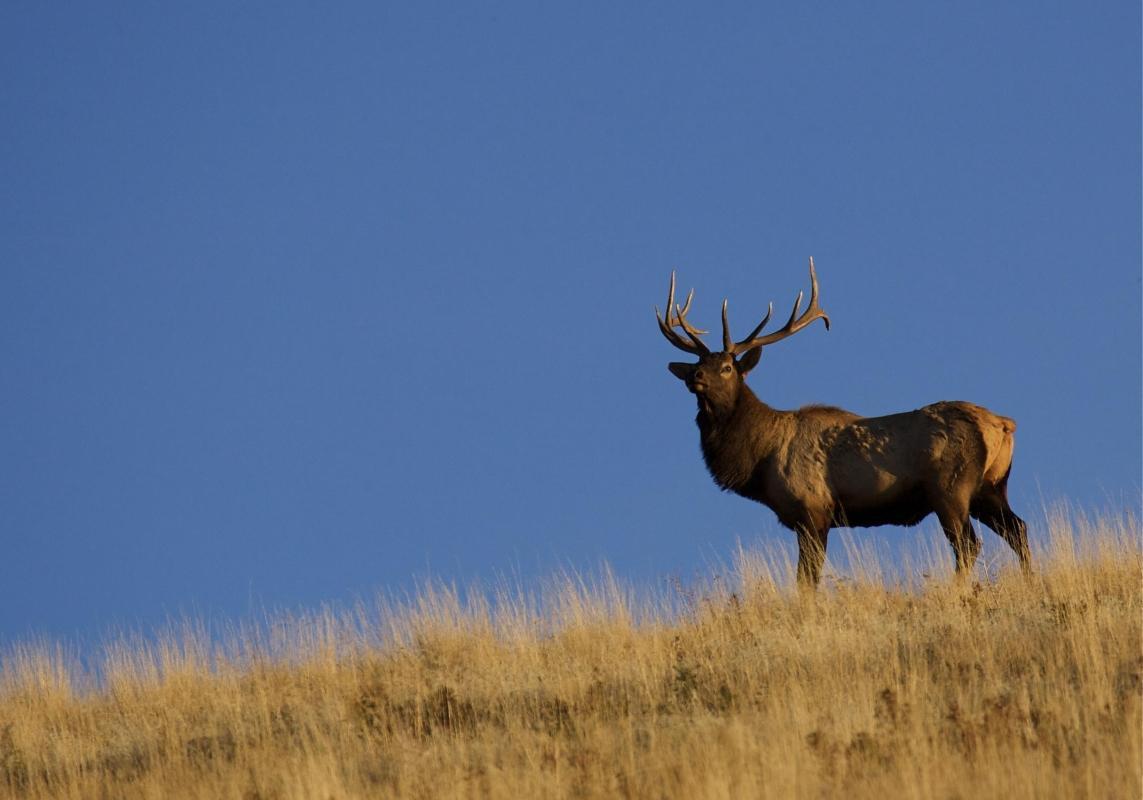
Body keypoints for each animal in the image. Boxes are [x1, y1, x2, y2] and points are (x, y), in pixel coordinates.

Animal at [658, 259, 1033, 585]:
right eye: (697, 364)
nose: (695, 377)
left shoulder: (813, 508)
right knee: (1019, 530)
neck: (760, 459)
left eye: (726, 368)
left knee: (968, 544)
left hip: (951, 487)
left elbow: (806, 580)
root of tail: (1004, 425)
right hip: (990, 487)